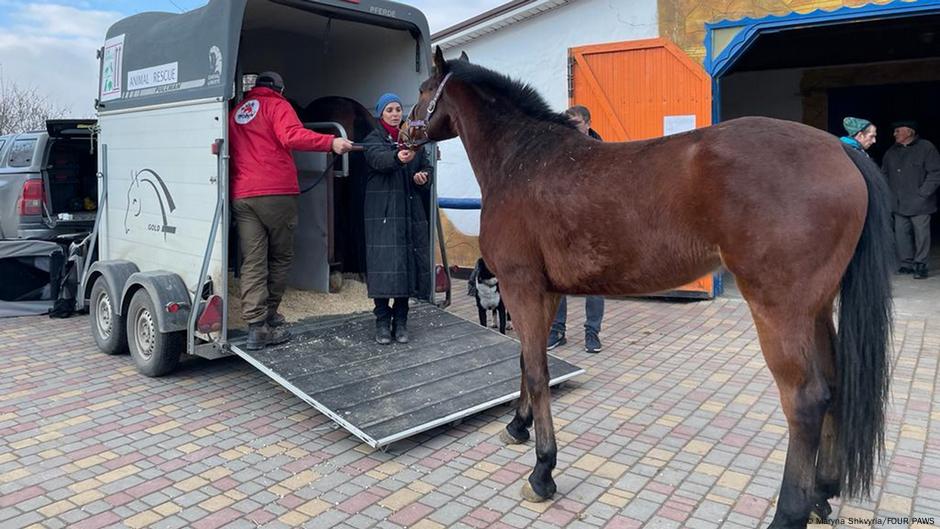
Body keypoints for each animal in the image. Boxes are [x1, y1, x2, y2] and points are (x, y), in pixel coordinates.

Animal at [408, 47, 892, 524]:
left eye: (424, 90)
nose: (405, 133)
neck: (522, 160)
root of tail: (839, 151)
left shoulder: (521, 287)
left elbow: (538, 371)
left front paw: (543, 471)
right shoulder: (544, 293)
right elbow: (528, 363)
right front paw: (516, 426)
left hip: (779, 311)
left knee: (805, 400)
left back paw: (789, 511)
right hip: (817, 309)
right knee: (834, 386)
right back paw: (822, 493)